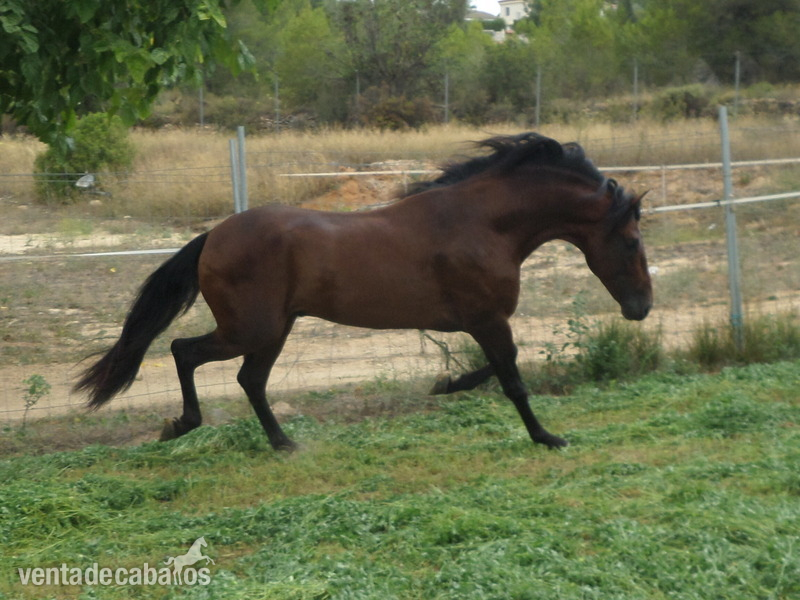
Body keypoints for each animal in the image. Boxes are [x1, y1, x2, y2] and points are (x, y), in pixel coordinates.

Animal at [74, 133, 652, 451]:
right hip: (250, 328)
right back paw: (182, 425)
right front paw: (546, 437)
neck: (482, 224)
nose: (641, 307)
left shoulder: (482, 322)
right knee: (183, 351)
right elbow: (512, 378)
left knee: (249, 380)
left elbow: (498, 369)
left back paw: (283, 444)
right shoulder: (488, 319)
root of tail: (213, 236)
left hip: (275, 329)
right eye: (630, 240)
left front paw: (445, 384)